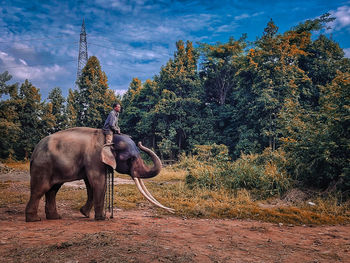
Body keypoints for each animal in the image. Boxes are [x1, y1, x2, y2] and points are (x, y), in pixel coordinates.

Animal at [25, 128, 174, 223]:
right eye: (131, 159)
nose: (140, 142)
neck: (110, 139)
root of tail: (34, 151)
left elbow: (91, 185)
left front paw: (84, 213)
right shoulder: (95, 158)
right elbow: (98, 182)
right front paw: (101, 218)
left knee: (53, 190)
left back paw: (55, 217)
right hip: (43, 166)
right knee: (40, 189)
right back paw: (34, 219)